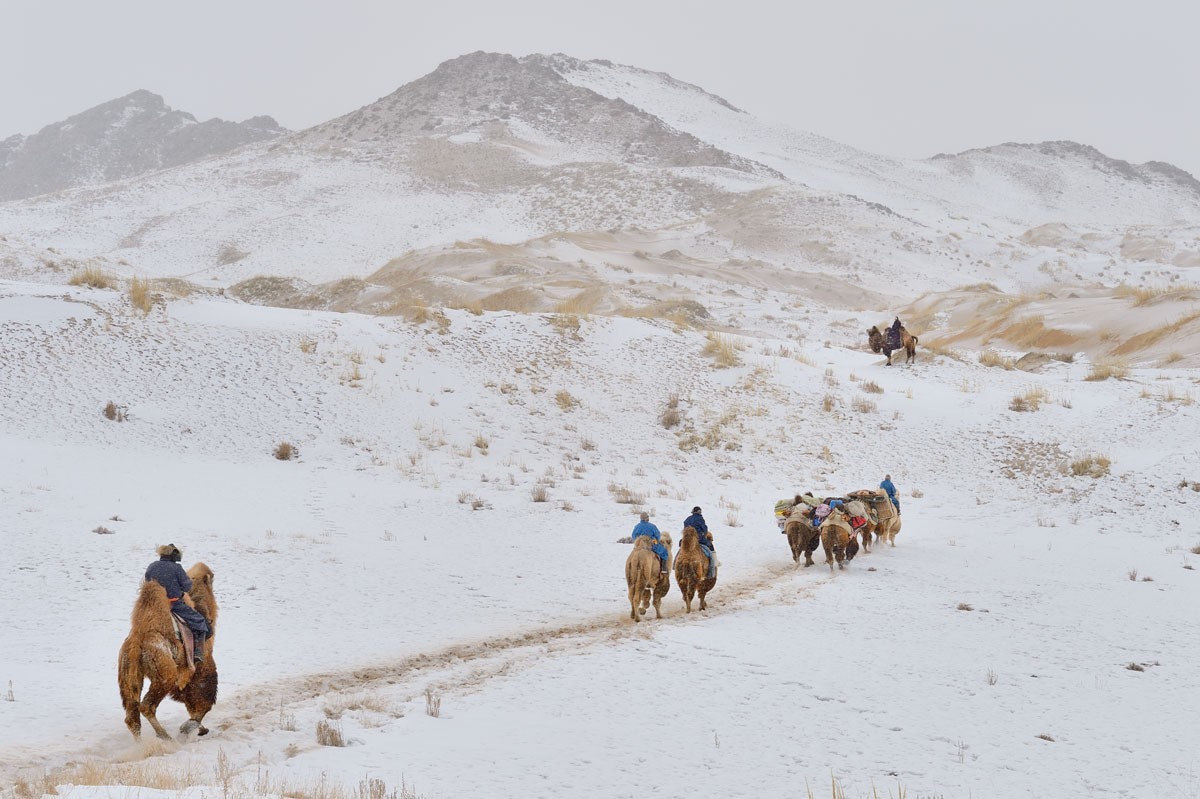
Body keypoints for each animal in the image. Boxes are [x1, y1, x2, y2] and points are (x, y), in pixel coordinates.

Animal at [119, 563, 220, 739]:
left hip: (129, 676)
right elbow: (203, 698)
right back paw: (166, 737)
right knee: (146, 706)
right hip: (165, 674)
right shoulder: (201, 664)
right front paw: (192, 727)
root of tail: (136, 643)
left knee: (132, 716)